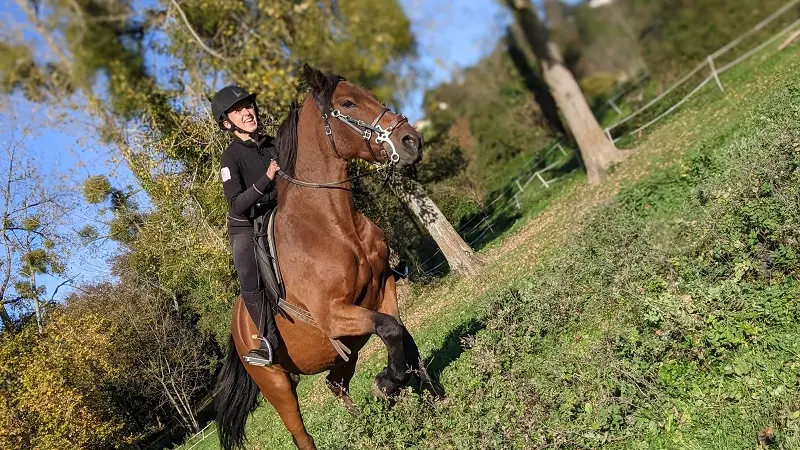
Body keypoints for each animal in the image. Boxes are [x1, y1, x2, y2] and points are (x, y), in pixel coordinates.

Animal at [214, 64, 444, 450]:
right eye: (348, 103)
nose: (411, 141)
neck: (334, 226)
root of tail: (237, 329)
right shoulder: (334, 315)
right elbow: (392, 329)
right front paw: (386, 384)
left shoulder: (384, 289)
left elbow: (401, 334)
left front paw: (424, 390)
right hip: (277, 385)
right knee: (300, 432)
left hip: (343, 352)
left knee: (335, 384)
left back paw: (365, 425)